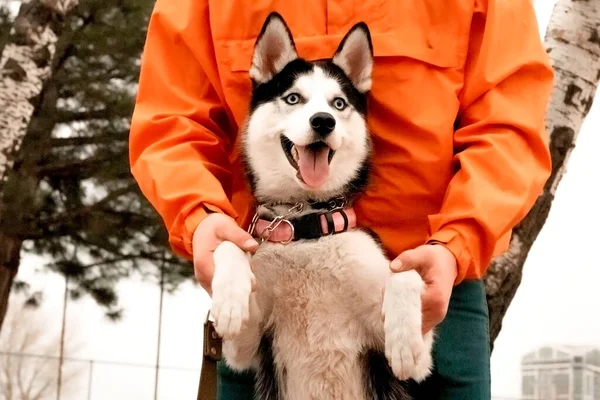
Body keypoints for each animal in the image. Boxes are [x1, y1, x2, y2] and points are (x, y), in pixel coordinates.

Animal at [210, 12, 432, 400]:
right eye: (293, 98)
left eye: (338, 104)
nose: (323, 121)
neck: (308, 223)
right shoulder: (244, 347)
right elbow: (229, 244)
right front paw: (228, 295)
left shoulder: (418, 359)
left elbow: (405, 274)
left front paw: (404, 339)